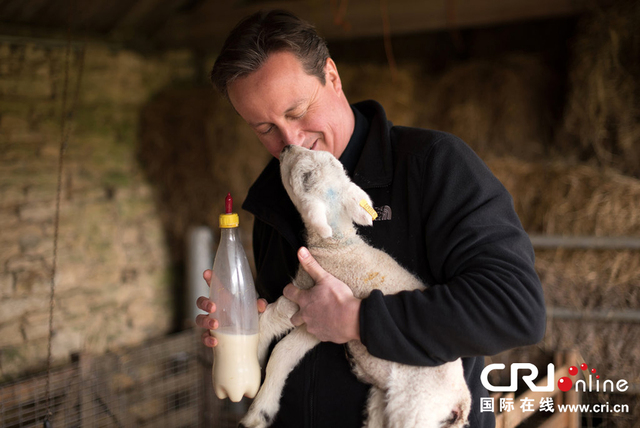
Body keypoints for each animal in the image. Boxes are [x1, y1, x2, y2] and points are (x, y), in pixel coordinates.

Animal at [239, 145, 470, 428]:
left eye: (303, 176)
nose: (286, 147)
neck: (338, 245)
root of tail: (461, 401)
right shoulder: (315, 324)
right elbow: (285, 351)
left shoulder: (306, 294)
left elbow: (270, 325)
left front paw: (253, 366)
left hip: (415, 408)